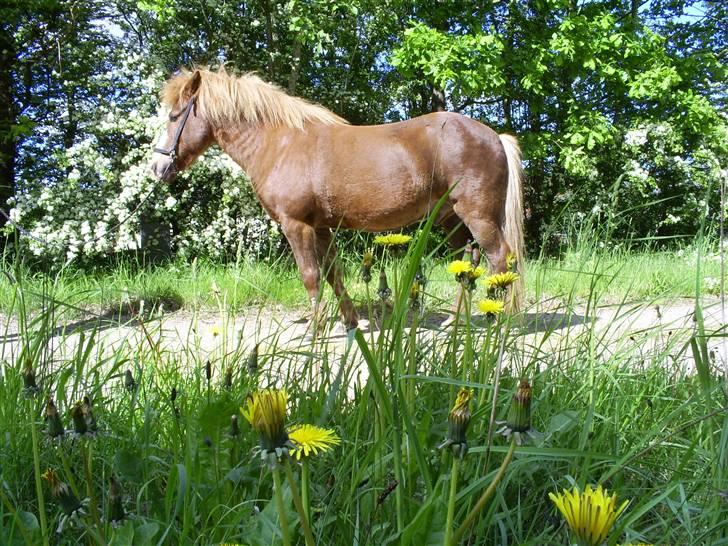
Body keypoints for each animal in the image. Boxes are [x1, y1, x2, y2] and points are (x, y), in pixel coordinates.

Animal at [152, 65, 524, 326]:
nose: (157, 166)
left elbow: (311, 276)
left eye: (173, 116)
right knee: (467, 262)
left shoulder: (296, 225)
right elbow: (334, 274)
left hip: (479, 216)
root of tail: (494, 136)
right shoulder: (320, 227)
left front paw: (315, 331)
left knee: (500, 259)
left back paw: (496, 321)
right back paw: (456, 322)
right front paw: (350, 322)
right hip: (452, 220)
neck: (281, 144)